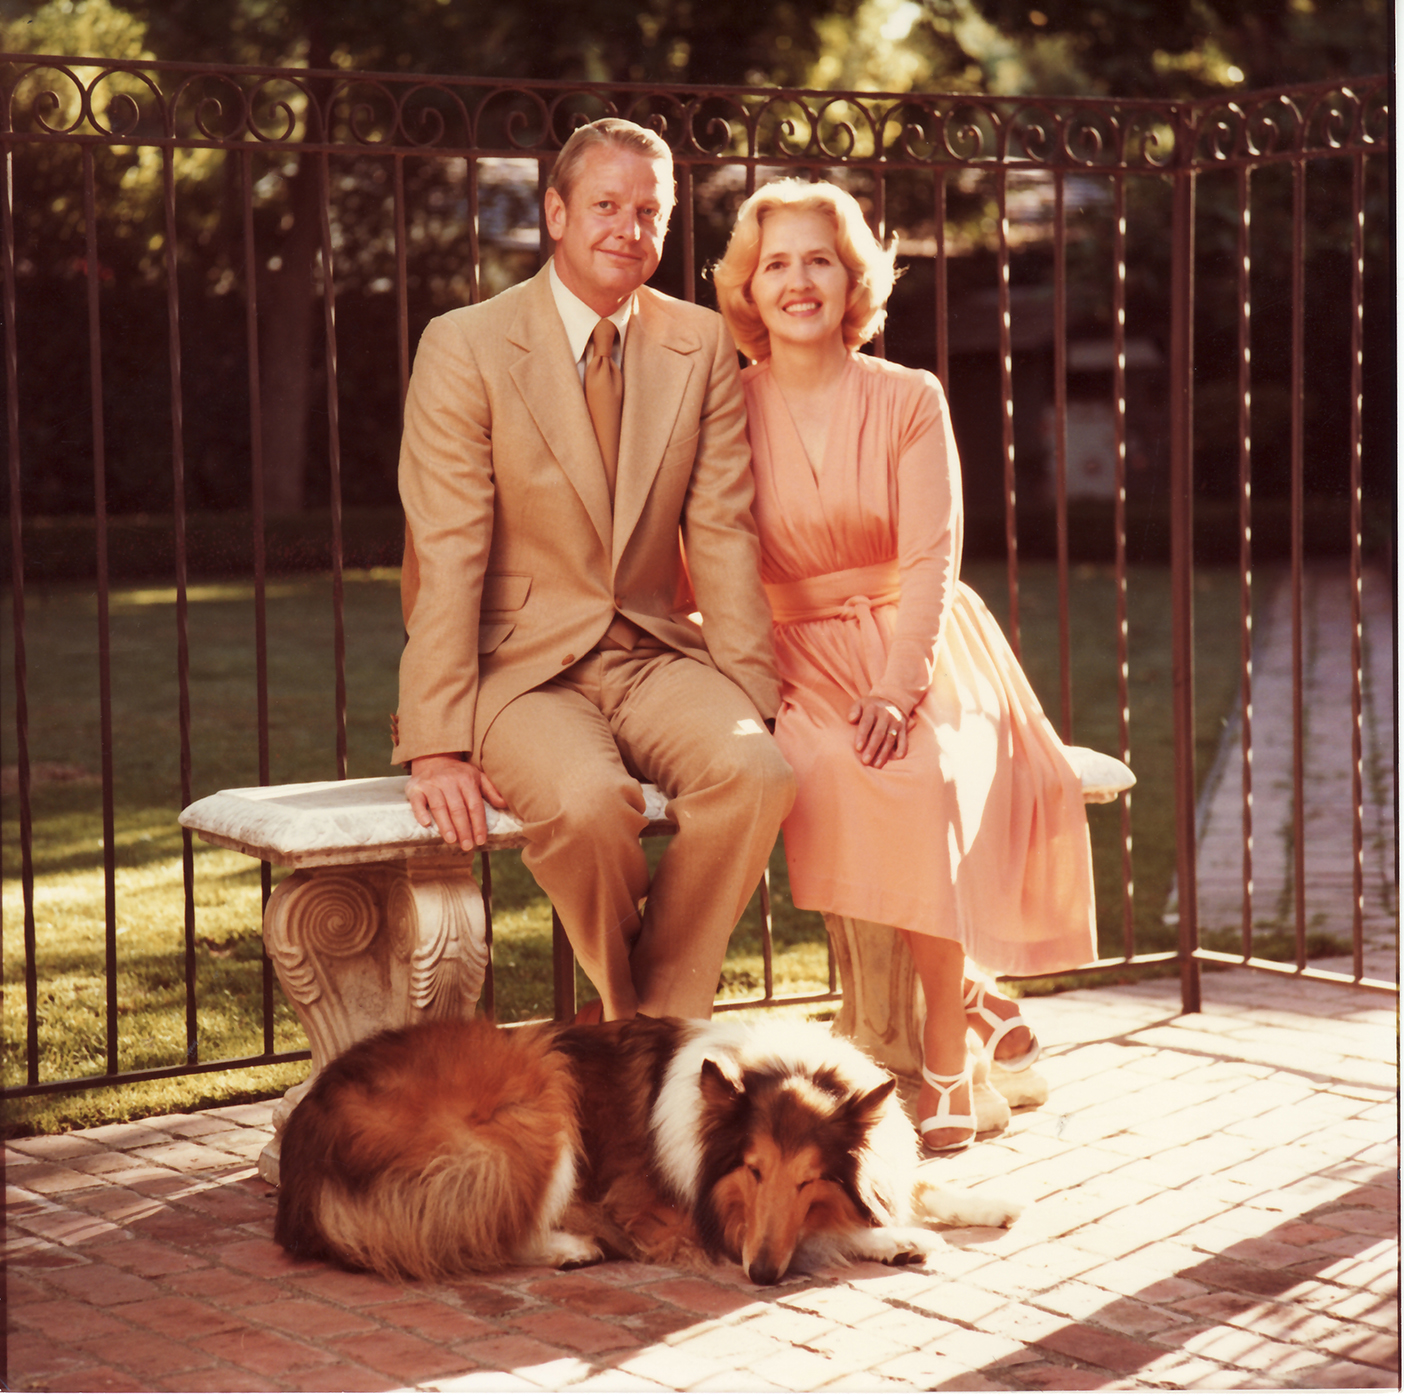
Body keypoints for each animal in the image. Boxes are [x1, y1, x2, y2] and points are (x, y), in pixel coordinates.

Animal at [273, 1011, 1022, 1286]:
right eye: (752, 1170)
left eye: (810, 1178)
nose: (762, 1277)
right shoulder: (672, 1216)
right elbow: (823, 1234)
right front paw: (899, 1239)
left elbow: (915, 1185)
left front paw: (992, 1204)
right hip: (537, 1097)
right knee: (475, 1232)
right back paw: (568, 1246)